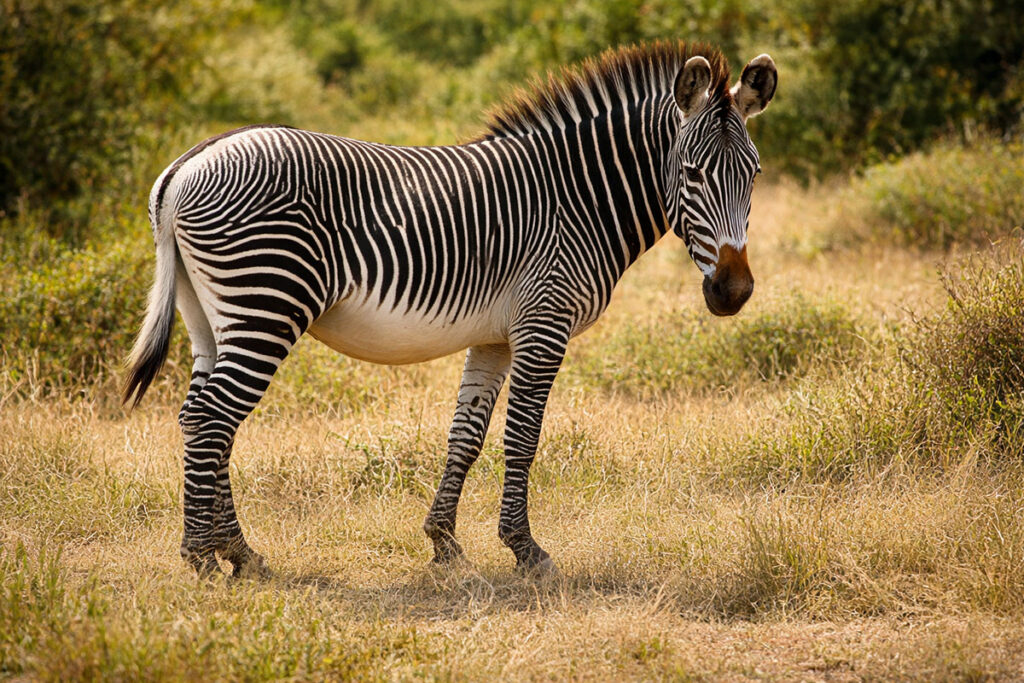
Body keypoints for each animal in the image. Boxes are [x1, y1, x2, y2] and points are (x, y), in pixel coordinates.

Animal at [123, 42, 777, 578]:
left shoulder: (495, 336)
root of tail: (185, 166)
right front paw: (526, 550)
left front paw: (443, 542)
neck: (576, 198)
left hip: (210, 317)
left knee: (200, 416)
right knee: (212, 418)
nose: (734, 292)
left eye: (755, 173)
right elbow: (522, 437)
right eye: (691, 173)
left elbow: (466, 435)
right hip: (265, 300)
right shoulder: (544, 322)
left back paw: (239, 552)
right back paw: (203, 557)